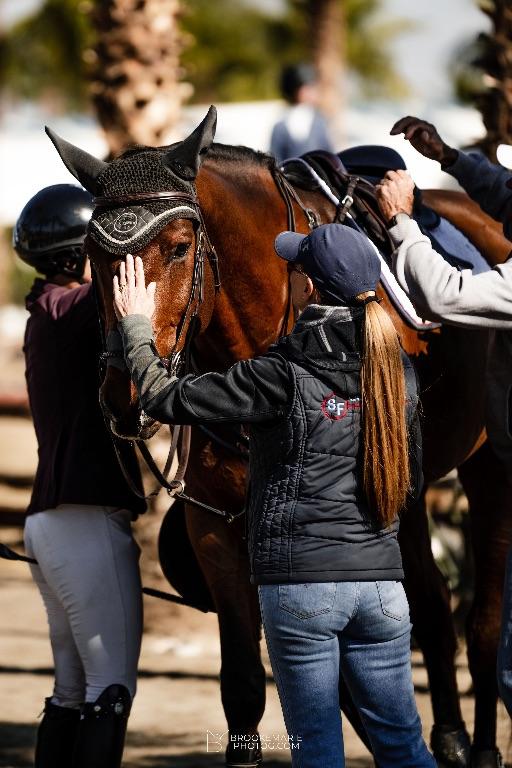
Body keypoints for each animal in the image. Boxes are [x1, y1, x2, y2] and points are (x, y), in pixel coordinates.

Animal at [46, 108, 512, 768]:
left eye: (180, 247)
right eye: (91, 254)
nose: (123, 395)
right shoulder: (217, 530)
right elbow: (245, 686)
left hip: (489, 470)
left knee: (481, 625)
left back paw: (483, 746)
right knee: (432, 606)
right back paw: (447, 734)